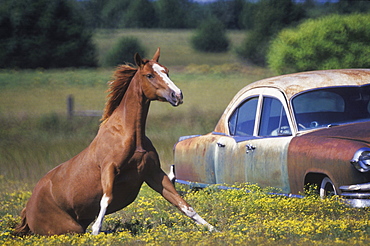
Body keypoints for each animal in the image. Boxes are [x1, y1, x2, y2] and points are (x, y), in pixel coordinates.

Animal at [14, 47, 215, 234]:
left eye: (166, 71)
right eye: (149, 75)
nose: (177, 95)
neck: (131, 137)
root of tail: (28, 208)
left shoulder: (153, 173)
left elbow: (183, 204)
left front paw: (213, 229)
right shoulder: (109, 168)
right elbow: (106, 198)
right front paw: (96, 231)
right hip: (71, 229)